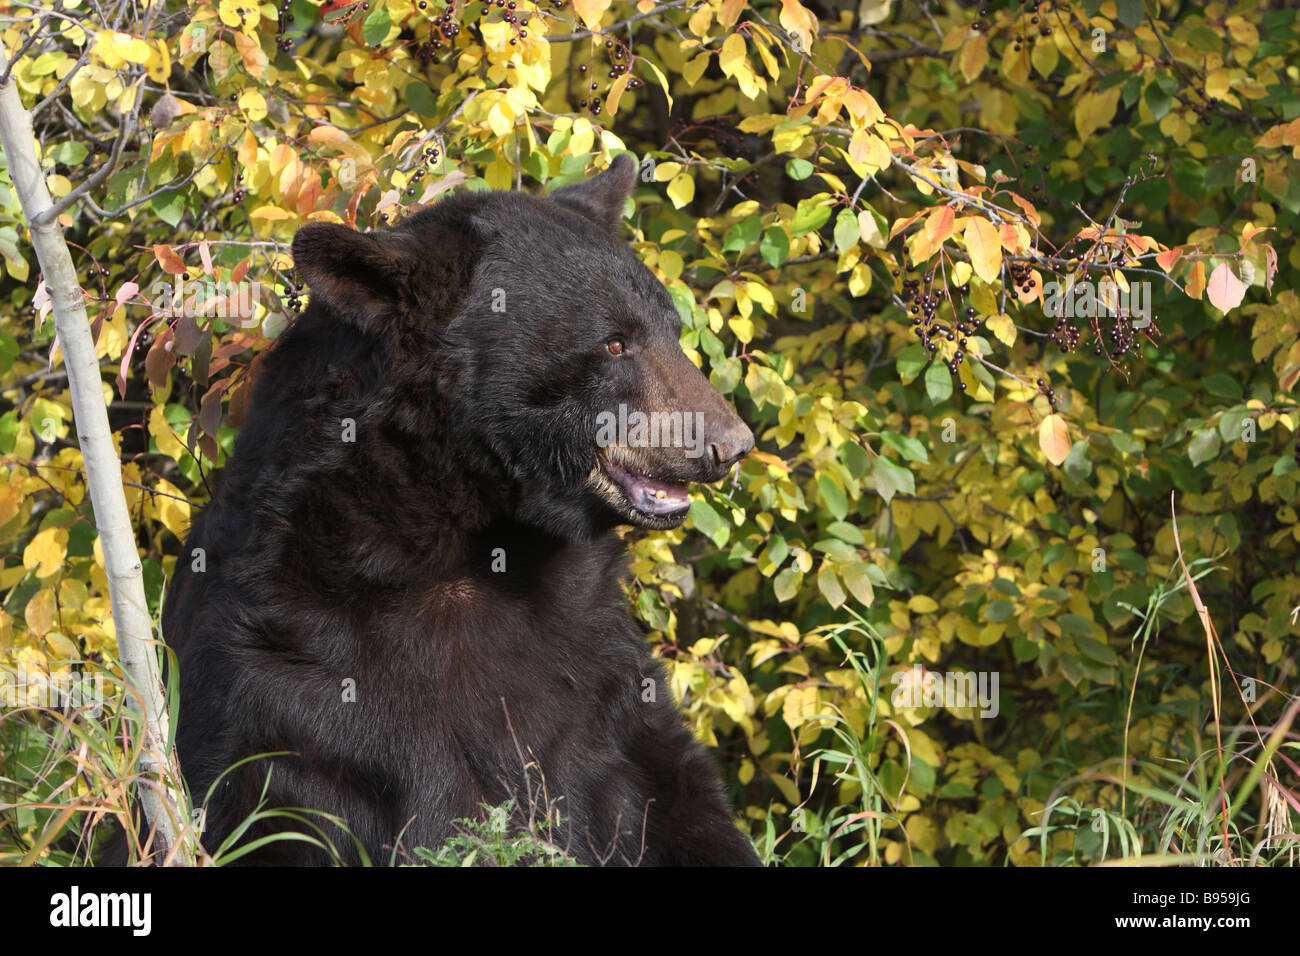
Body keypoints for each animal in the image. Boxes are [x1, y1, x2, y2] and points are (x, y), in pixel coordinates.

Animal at [159, 154, 762, 866]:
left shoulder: (602, 671)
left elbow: (674, 797)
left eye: (671, 330)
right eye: (615, 343)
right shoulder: (287, 662)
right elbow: (288, 803)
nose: (730, 445)